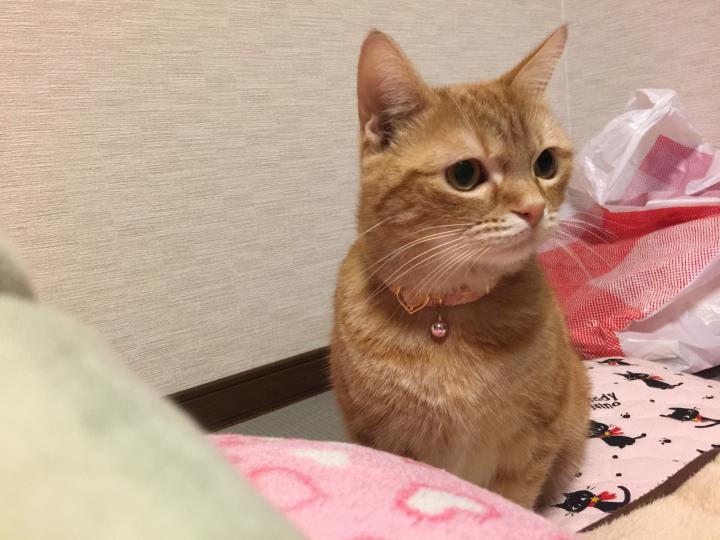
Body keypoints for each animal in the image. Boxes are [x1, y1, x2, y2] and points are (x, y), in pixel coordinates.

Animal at [330, 27, 590, 509]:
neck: (444, 314)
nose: (534, 209)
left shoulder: (530, 445)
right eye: (465, 174)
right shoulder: (383, 441)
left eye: (545, 163)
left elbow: (514, 502)